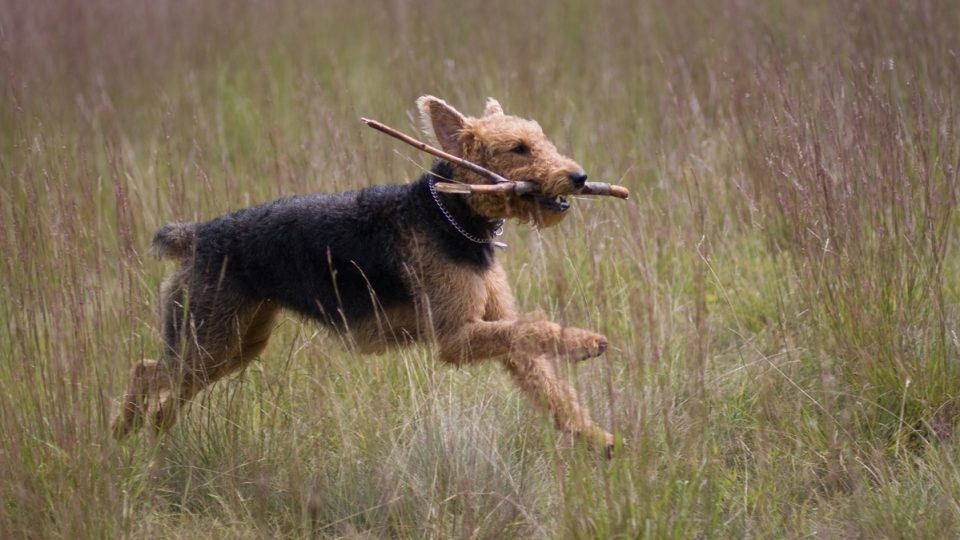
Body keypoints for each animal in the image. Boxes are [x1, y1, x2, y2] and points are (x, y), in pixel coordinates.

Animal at [112, 96, 620, 456]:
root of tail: (197, 234)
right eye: (519, 148)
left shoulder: (494, 327)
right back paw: (122, 430)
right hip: (209, 341)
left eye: (541, 140)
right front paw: (586, 342)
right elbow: (533, 329)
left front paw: (594, 436)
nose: (579, 177)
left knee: (166, 387)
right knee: (143, 371)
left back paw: (147, 434)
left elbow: (545, 378)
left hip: (233, 345)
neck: (450, 215)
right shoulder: (456, 336)